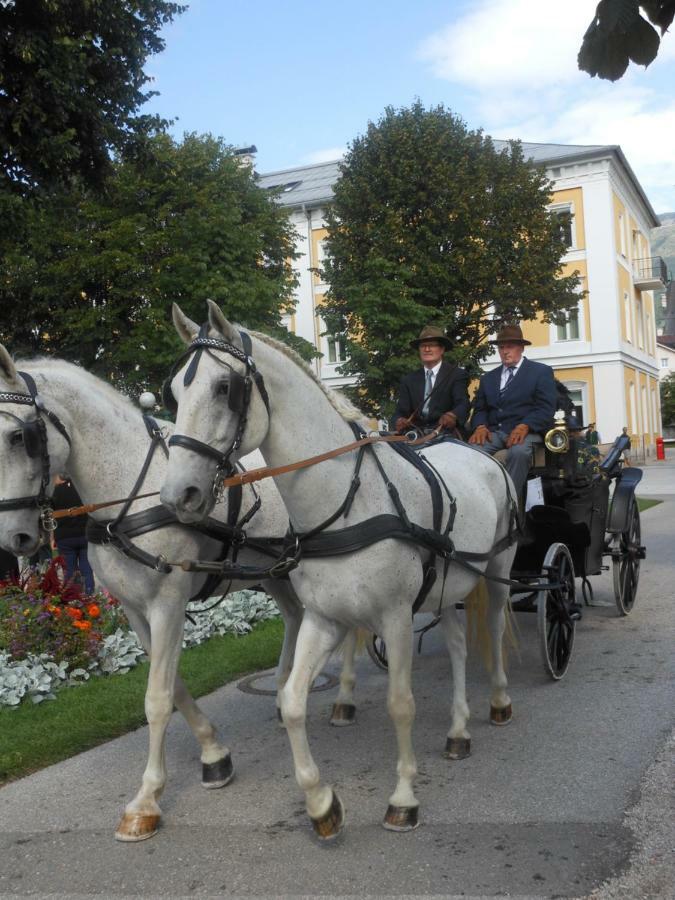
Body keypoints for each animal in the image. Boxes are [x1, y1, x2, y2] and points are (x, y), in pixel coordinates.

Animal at [0, 346, 360, 844]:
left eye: (19, 436)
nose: (13, 538)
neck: (128, 494)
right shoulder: (135, 611)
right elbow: (175, 687)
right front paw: (214, 755)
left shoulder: (166, 601)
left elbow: (156, 698)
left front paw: (146, 800)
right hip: (274, 571)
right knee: (293, 615)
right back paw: (284, 683)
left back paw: (343, 698)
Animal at [162, 300, 516, 836]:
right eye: (175, 391)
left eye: (225, 387)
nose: (177, 493)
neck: (346, 501)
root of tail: (477, 451)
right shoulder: (324, 617)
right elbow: (291, 701)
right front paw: (321, 803)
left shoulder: (395, 616)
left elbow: (400, 705)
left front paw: (403, 798)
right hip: (446, 585)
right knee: (457, 643)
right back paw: (458, 729)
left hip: (496, 569)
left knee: (492, 630)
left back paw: (497, 702)